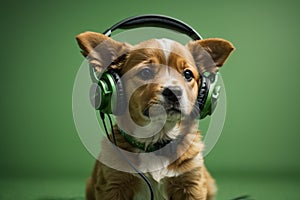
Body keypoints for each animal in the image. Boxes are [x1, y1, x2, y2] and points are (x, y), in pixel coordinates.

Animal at [75, 30, 234, 199]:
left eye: (187, 74)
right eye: (146, 72)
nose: (174, 92)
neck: (157, 140)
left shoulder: (191, 185)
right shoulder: (113, 185)